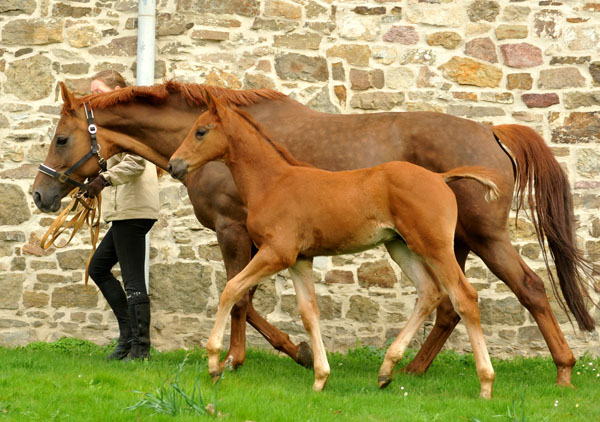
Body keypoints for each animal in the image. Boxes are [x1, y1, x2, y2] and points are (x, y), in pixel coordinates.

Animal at [166, 94, 500, 398]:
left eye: (200, 131)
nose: (173, 165)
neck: (273, 182)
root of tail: (440, 178)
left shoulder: (277, 253)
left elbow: (231, 289)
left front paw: (214, 364)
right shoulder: (300, 259)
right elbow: (308, 312)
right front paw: (320, 377)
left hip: (435, 247)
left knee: (463, 296)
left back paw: (485, 383)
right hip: (400, 247)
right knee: (430, 292)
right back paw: (386, 371)